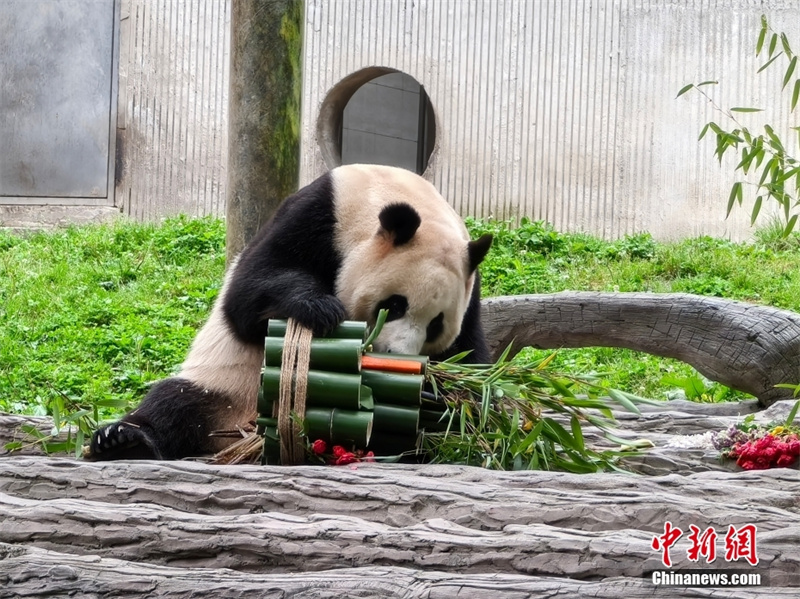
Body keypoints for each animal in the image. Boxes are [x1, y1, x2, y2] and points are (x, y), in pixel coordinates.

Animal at [89, 164, 493, 460]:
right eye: (393, 305)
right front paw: (321, 308)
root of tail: (240, 437)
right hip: (223, 385)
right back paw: (123, 440)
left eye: (436, 324)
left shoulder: (470, 288)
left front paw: (436, 394)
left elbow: (471, 359)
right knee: (174, 403)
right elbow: (250, 291)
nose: (398, 357)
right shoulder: (318, 214)